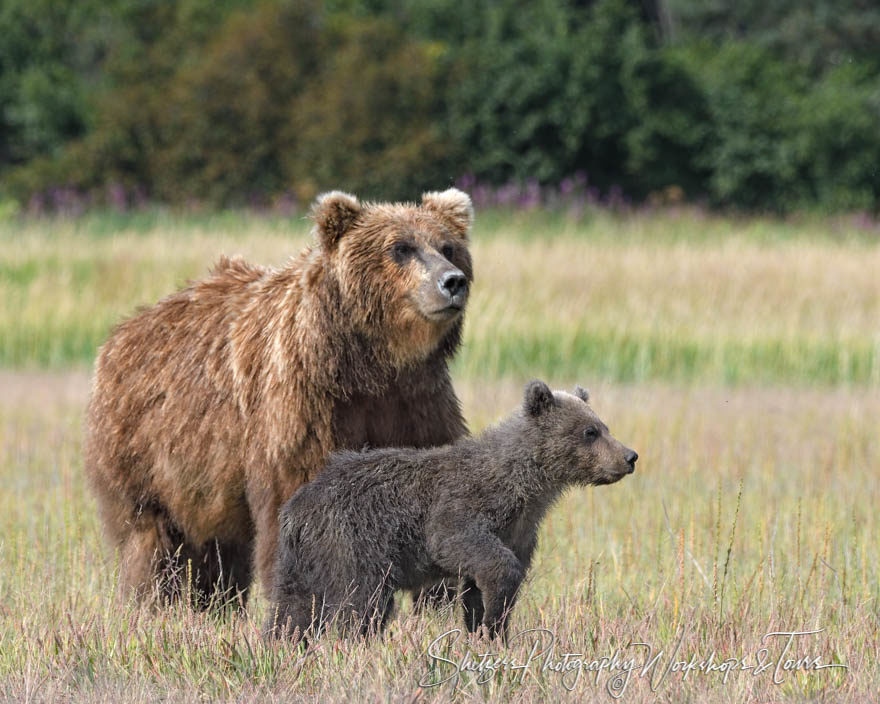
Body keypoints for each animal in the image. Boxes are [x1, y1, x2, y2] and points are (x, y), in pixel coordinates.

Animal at [86, 187, 474, 604]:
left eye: (448, 247)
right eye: (400, 247)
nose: (452, 281)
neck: (371, 364)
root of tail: (122, 332)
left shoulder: (415, 404)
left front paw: (443, 595)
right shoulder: (303, 409)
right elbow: (294, 495)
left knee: (218, 550)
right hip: (146, 454)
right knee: (154, 539)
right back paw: (151, 600)